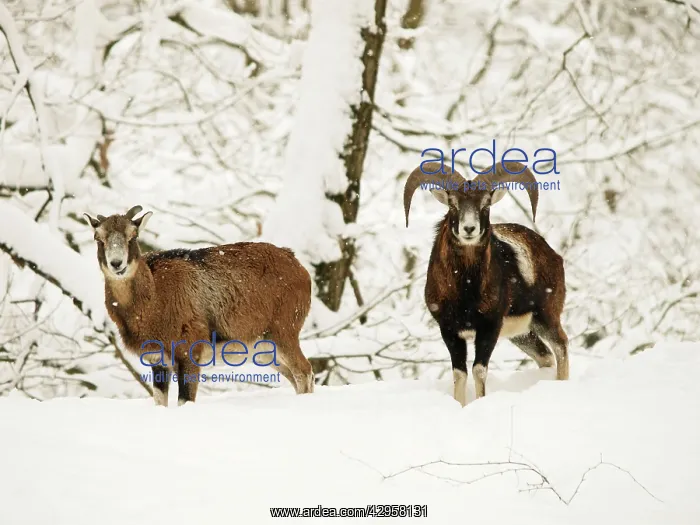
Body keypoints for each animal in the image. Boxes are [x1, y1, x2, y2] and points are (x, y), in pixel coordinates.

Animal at [84, 205, 315, 406]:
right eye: (98, 238)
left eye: (133, 236)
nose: (117, 264)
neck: (153, 299)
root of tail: (298, 266)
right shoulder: (158, 361)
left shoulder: (189, 352)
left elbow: (185, 399)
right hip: (266, 349)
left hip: (283, 333)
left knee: (304, 372)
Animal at [403, 161, 569, 406]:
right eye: (453, 204)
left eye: (486, 204)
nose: (469, 229)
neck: (465, 288)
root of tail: (553, 255)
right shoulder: (449, 331)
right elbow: (459, 373)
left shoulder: (489, 328)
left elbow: (479, 371)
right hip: (522, 334)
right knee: (545, 356)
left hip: (545, 318)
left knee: (561, 346)